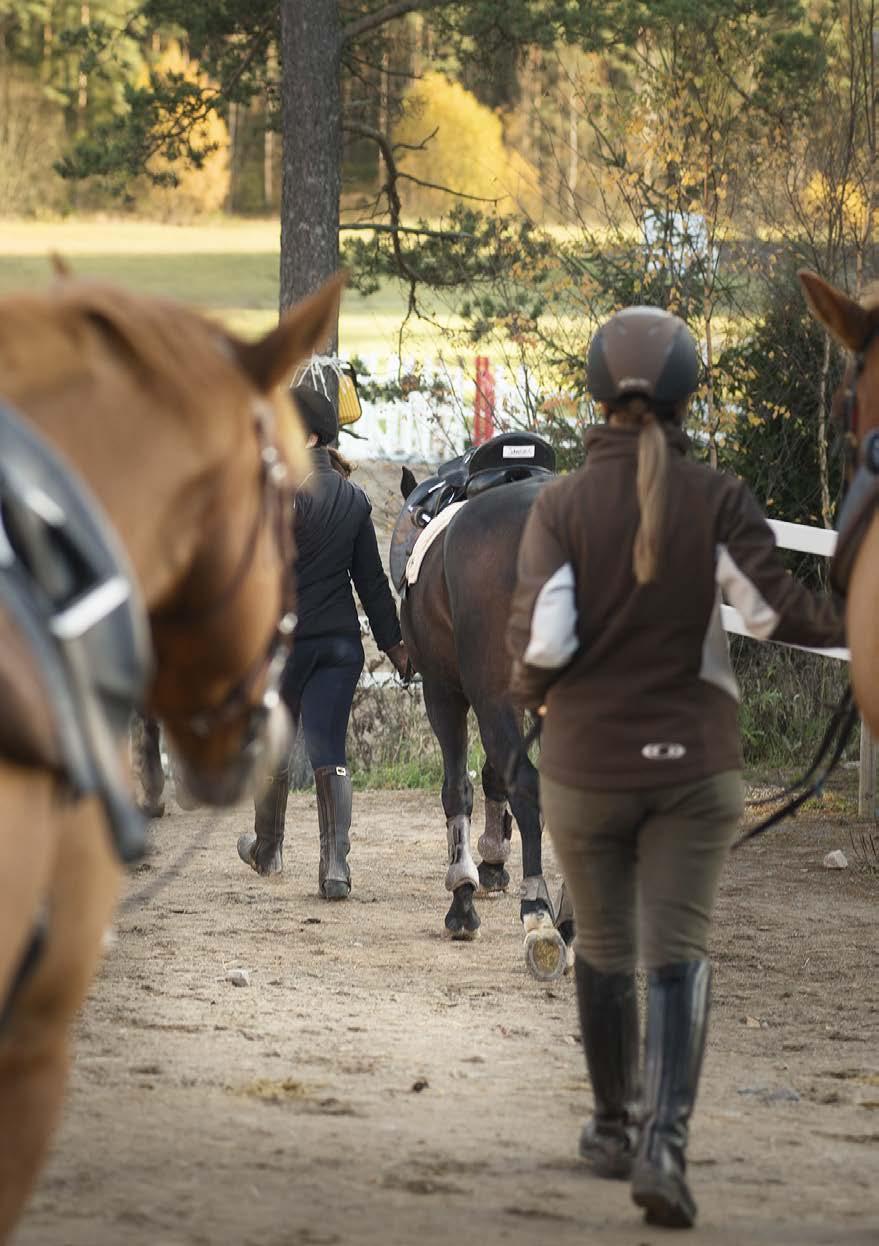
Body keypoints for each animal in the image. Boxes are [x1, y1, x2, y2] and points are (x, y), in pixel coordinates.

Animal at [393, 468, 566, 961]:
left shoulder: (446, 693)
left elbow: (458, 789)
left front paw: (463, 896)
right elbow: (493, 777)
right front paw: (491, 863)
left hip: (488, 695)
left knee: (527, 786)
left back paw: (537, 911)